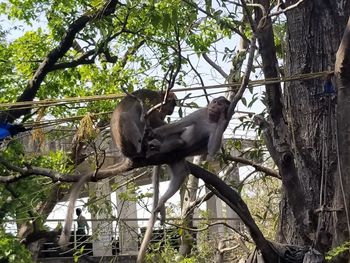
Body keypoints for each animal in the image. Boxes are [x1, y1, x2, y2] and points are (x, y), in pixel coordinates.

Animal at [59, 89, 178, 249]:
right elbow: (153, 119)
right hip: (129, 139)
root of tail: (125, 154)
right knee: (131, 115)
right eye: (173, 104)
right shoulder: (154, 105)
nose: (172, 111)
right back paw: (143, 147)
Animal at [136, 97, 230, 263]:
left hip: (175, 160)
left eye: (219, 104)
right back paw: (154, 145)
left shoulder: (219, 127)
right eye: (214, 102)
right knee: (177, 136)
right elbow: (178, 125)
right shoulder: (200, 113)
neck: (210, 118)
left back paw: (162, 201)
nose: (213, 106)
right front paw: (151, 132)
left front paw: (224, 116)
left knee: (181, 172)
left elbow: (212, 150)